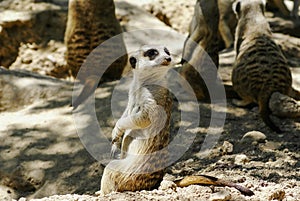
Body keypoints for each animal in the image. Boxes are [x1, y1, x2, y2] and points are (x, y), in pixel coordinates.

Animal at [232, 0, 300, 133]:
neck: (255, 18)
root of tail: (269, 85)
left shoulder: (238, 33)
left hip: (237, 79)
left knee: (248, 98)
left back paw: (238, 101)